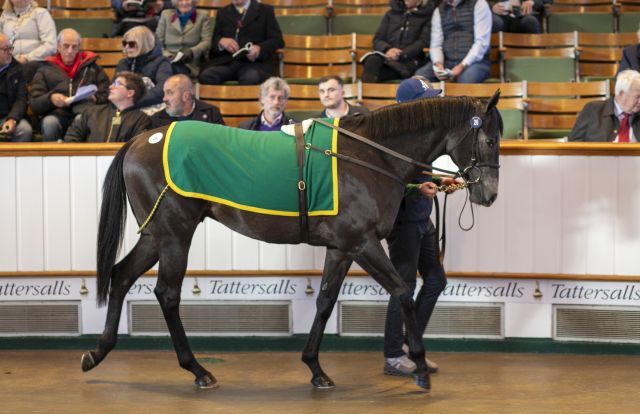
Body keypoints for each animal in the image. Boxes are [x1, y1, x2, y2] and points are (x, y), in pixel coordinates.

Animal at [80, 91, 502, 392]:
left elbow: (326, 301)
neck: (368, 157)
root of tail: (143, 139)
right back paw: (197, 369)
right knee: (167, 294)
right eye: (490, 139)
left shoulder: (341, 247)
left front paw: (315, 368)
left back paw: (98, 352)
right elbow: (402, 291)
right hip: (174, 234)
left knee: (121, 275)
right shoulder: (362, 242)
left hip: (156, 235)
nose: (489, 194)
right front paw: (420, 366)